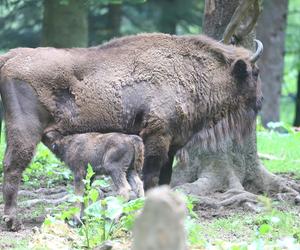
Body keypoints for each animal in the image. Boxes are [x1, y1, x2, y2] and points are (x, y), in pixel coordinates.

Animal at [0, 33, 262, 230]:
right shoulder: (156, 138)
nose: (260, 102)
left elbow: (164, 179)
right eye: (255, 72)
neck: (186, 69)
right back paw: (12, 222)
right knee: (13, 167)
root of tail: (11, 57)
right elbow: (151, 178)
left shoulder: (172, 144)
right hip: (24, 132)